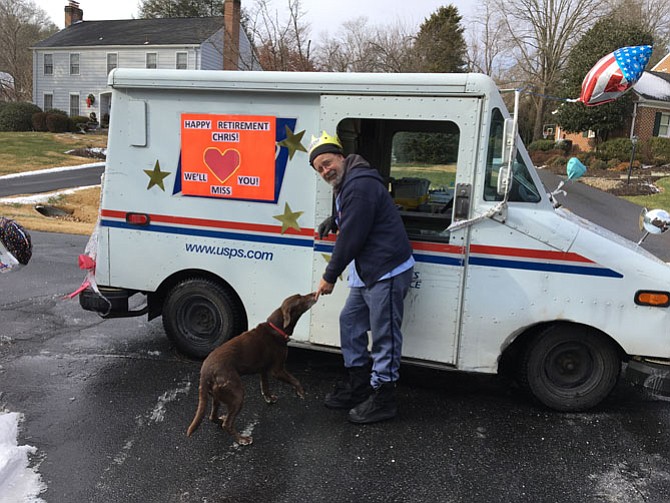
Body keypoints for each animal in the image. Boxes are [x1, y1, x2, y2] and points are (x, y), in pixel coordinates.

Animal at [186, 294, 318, 446]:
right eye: (301, 298)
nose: (314, 294)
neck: (277, 327)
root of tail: (205, 372)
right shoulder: (277, 370)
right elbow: (295, 380)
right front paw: (301, 392)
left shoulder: (263, 370)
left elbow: (265, 387)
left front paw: (269, 398)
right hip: (237, 394)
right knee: (227, 424)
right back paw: (242, 439)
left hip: (216, 396)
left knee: (212, 417)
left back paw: (220, 420)